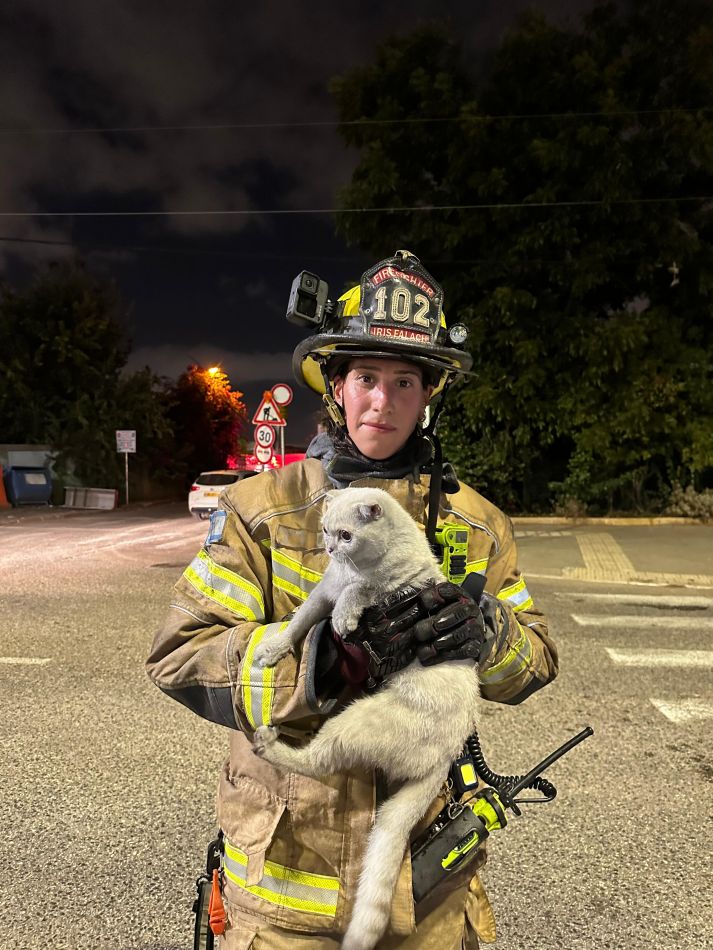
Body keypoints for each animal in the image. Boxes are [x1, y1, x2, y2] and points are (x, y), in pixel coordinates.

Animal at [250, 490, 478, 950]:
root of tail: (447, 754)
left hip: (353, 722)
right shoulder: (322, 592)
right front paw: (273, 649)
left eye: (346, 535)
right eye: (325, 530)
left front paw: (345, 618)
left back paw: (268, 744)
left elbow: (360, 590)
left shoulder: (389, 590)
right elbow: (300, 623)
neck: (357, 565)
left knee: (315, 761)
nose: (329, 548)